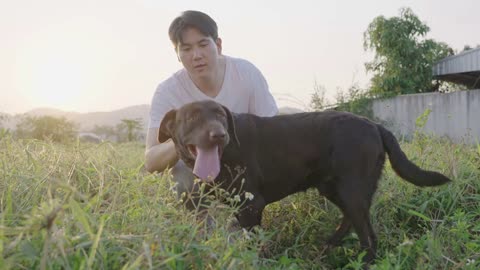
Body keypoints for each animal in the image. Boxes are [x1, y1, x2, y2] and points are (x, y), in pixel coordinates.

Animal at [158, 99, 450, 262]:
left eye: (220, 115)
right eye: (192, 117)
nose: (219, 135)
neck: (226, 153)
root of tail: (375, 125)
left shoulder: (251, 205)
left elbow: (254, 244)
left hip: (351, 188)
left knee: (367, 233)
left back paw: (363, 260)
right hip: (334, 187)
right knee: (353, 221)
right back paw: (330, 246)